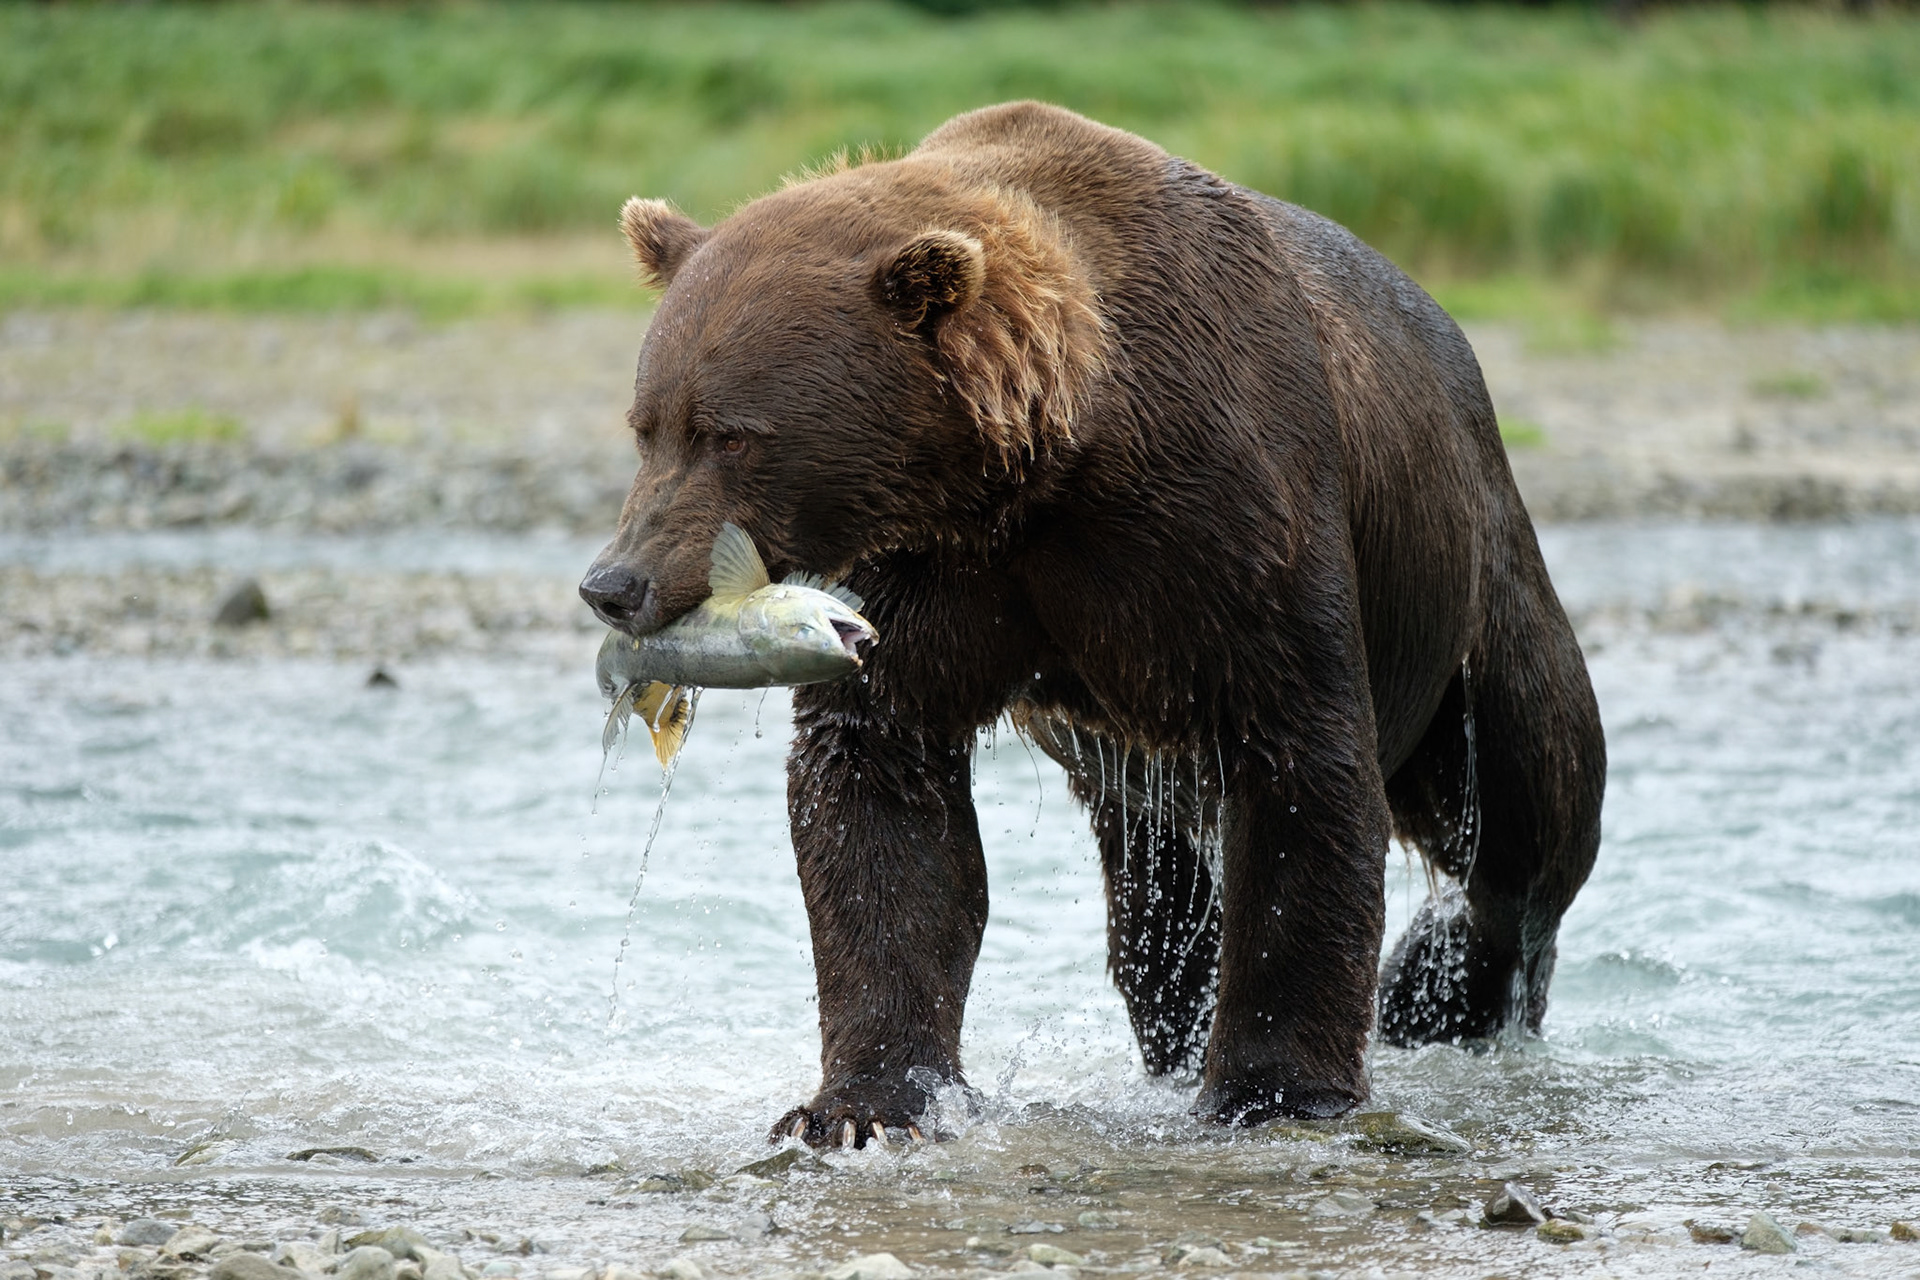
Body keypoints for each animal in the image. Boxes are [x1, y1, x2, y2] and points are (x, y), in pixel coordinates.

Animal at [580, 102, 1605, 1146]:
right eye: (647, 423)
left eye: (732, 434)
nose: (614, 582)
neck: (1039, 475)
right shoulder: (925, 582)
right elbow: (880, 794)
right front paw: (860, 1104)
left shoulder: (1231, 526)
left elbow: (1301, 760)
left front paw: (1276, 1091)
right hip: (1142, 772)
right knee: (1162, 908)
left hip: (1467, 583)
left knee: (1530, 796)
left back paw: (1444, 989)